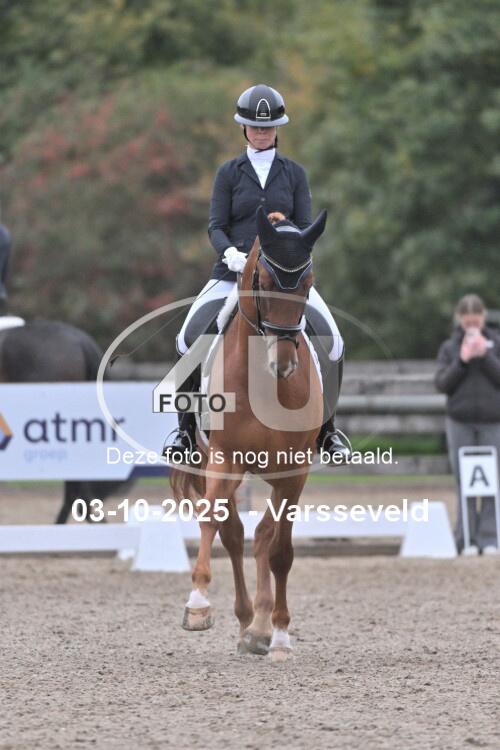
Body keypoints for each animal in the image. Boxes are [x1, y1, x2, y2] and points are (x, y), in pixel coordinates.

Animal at [171, 206, 328, 662]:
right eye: (265, 281)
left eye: (307, 284)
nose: (284, 362)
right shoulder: (224, 459)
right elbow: (211, 520)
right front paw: (198, 606)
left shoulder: (293, 472)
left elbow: (280, 551)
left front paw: (279, 634)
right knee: (234, 532)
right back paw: (244, 622)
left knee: (260, 539)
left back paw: (258, 629)